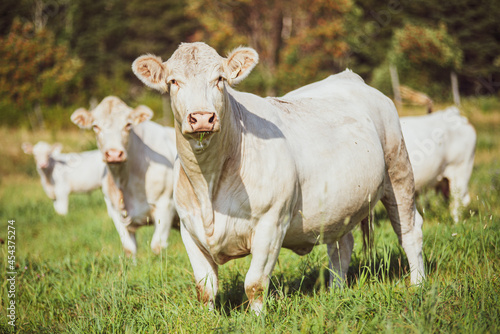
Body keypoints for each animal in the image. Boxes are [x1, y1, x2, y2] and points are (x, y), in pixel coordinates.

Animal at [70, 96, 178, 256]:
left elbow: (157, 246)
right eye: (95, 126)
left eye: (128, 125)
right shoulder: (115, 212)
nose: (114, 154)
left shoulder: (165, 205)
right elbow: (129, 248)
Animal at [131, 41, 424, 314]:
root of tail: (349, 77)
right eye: (173, 81)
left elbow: (254, 283)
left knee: (410, 231)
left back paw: (417, 285)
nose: (202, 118)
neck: (209, 186)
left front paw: (257, 319)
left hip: (398, 169)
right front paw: (207, 319)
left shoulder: (271, 223)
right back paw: (336, 291)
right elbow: (205, 288)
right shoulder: (189, 229)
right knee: (342, 246)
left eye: (220, 79)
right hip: (342, 204)